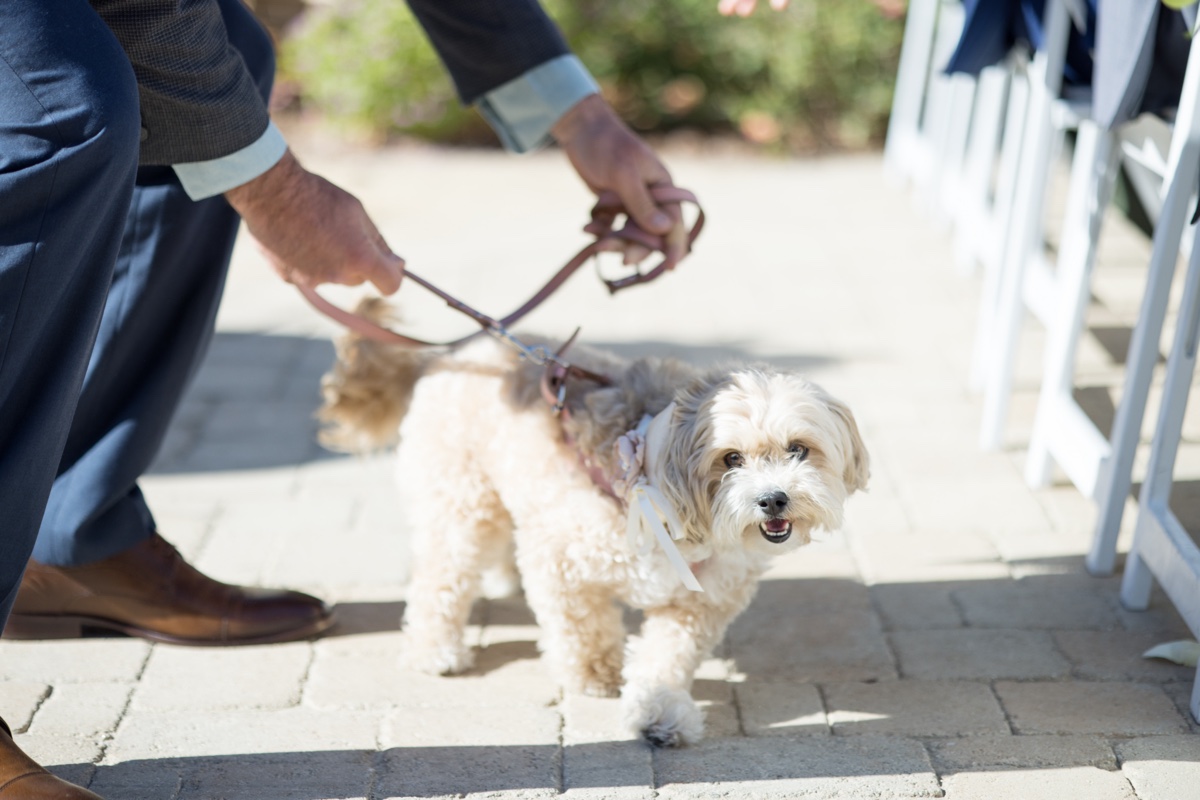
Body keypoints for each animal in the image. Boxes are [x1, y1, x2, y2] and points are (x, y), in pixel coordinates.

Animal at [316, 298, 873, 743]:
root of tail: (455, 354)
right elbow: (581, 627)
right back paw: (435, 649)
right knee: (442, 576)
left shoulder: (699, 603)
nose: (774, 499)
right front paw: (594, 674)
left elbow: (667, 657)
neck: (655, 487)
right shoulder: (560, 563)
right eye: (731, 459)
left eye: (798, 449)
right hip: (461, 502)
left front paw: (660, 712)